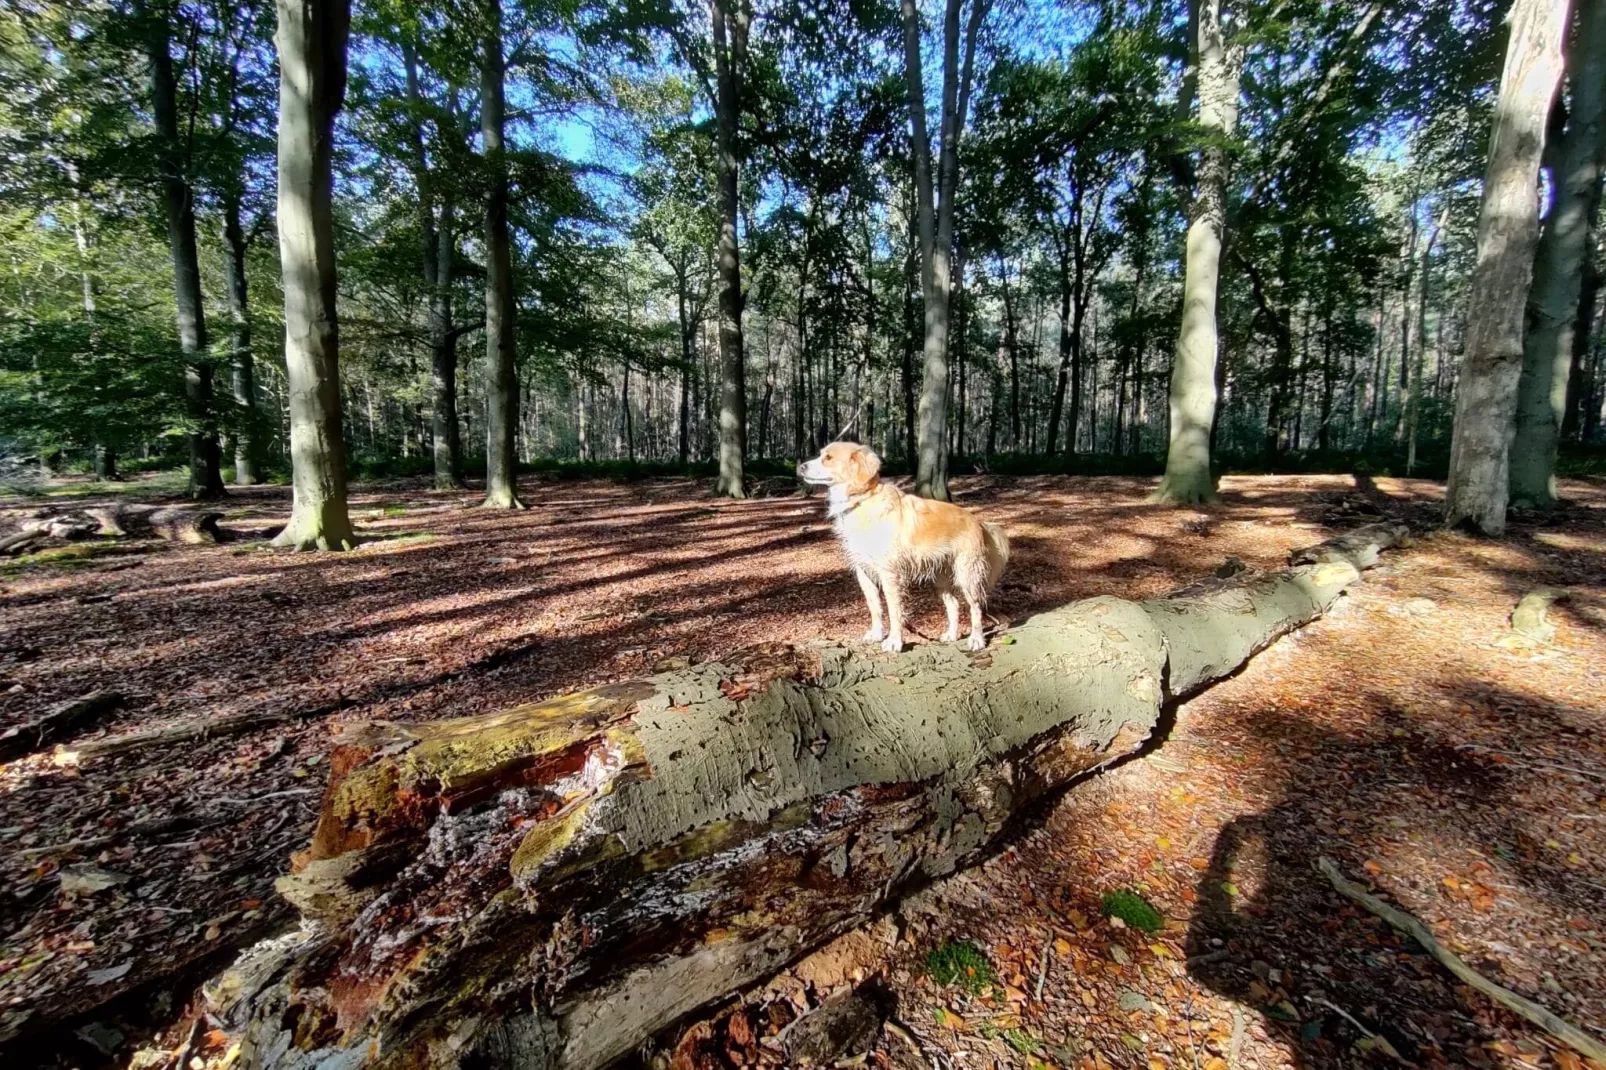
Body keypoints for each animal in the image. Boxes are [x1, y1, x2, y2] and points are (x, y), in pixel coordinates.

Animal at [799, 440, 1008, 649]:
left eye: (828, 458)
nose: (800, 467)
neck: (862, 500)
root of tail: (978, 521)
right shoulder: (864, 572)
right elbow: (875, 607)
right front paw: (877, 634)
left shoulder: (889, 574)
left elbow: (894, 610)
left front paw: (894, 641)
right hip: (940, 579)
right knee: (954, 604)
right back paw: (951, 635)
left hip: (967, 575)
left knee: (976, 607)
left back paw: (976, 639)